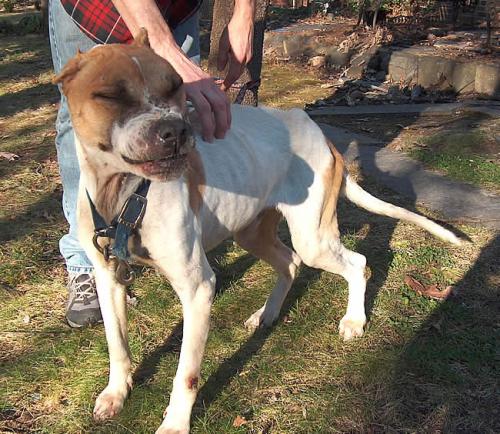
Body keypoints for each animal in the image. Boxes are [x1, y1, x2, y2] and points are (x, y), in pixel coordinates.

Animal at [53, 29, 461, 434]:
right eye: (110, 95)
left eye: (175, 87)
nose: (176, 131)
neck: (123, 193)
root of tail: (321, 135)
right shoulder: (108, 278)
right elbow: (117, 344)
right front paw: (116, 393)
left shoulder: (197, 288)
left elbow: (186, 374)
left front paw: (175, 424)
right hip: (251, 233)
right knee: (291, 262)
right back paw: (267, 313)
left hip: (312, 238)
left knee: (356, 263)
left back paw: (354, 321)